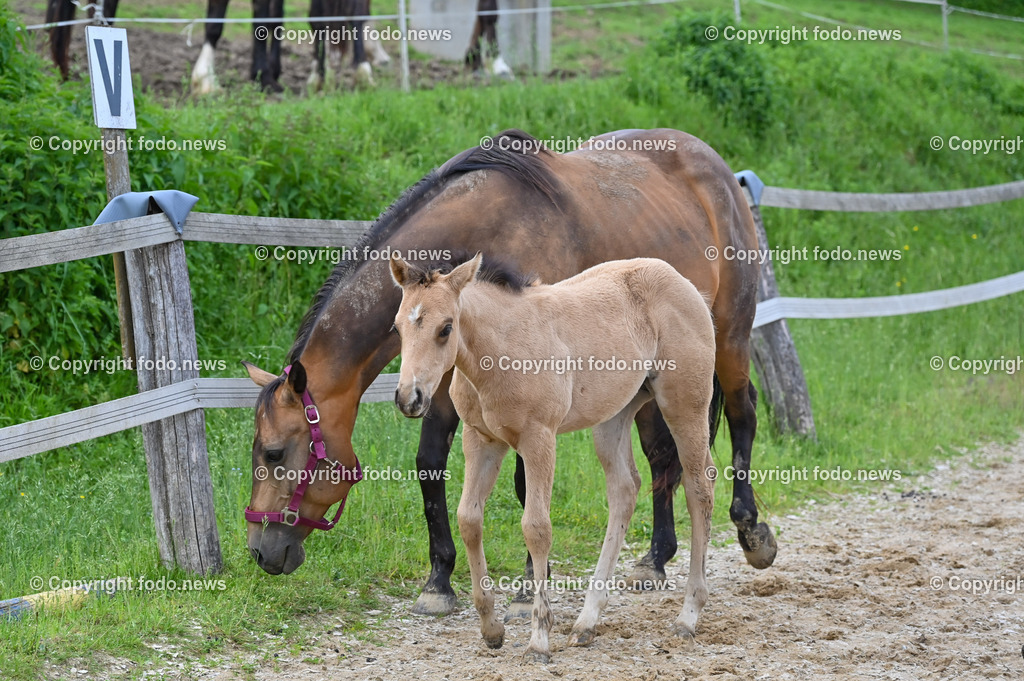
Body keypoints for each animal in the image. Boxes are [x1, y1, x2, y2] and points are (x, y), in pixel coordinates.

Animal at [241, 128, 775, 619]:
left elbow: (524, 487)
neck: (486, 228)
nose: (260, 552)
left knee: (742, 417)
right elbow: (430, 464)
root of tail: (718, 169)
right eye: (398, 327)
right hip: (639, 387)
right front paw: (439, 581)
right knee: (663, 455)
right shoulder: (444, 383)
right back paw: (655, 558)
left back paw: (750, 531)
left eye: (274, 453)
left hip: (729, 338)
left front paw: (526, 588)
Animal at [389, 253, 717, 661]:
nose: (410, 398)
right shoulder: (481, 440)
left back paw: (688, 617)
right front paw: (491, 629)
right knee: (625, 490)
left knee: (699, 488)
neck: (498, 351)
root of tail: (684, 284)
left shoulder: (539, 439)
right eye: (398, 327)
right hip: (614, 415)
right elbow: (469, 520)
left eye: (446, 328)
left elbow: (537, 528)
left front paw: (538, 640)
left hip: (685, 406)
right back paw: (586, 622)